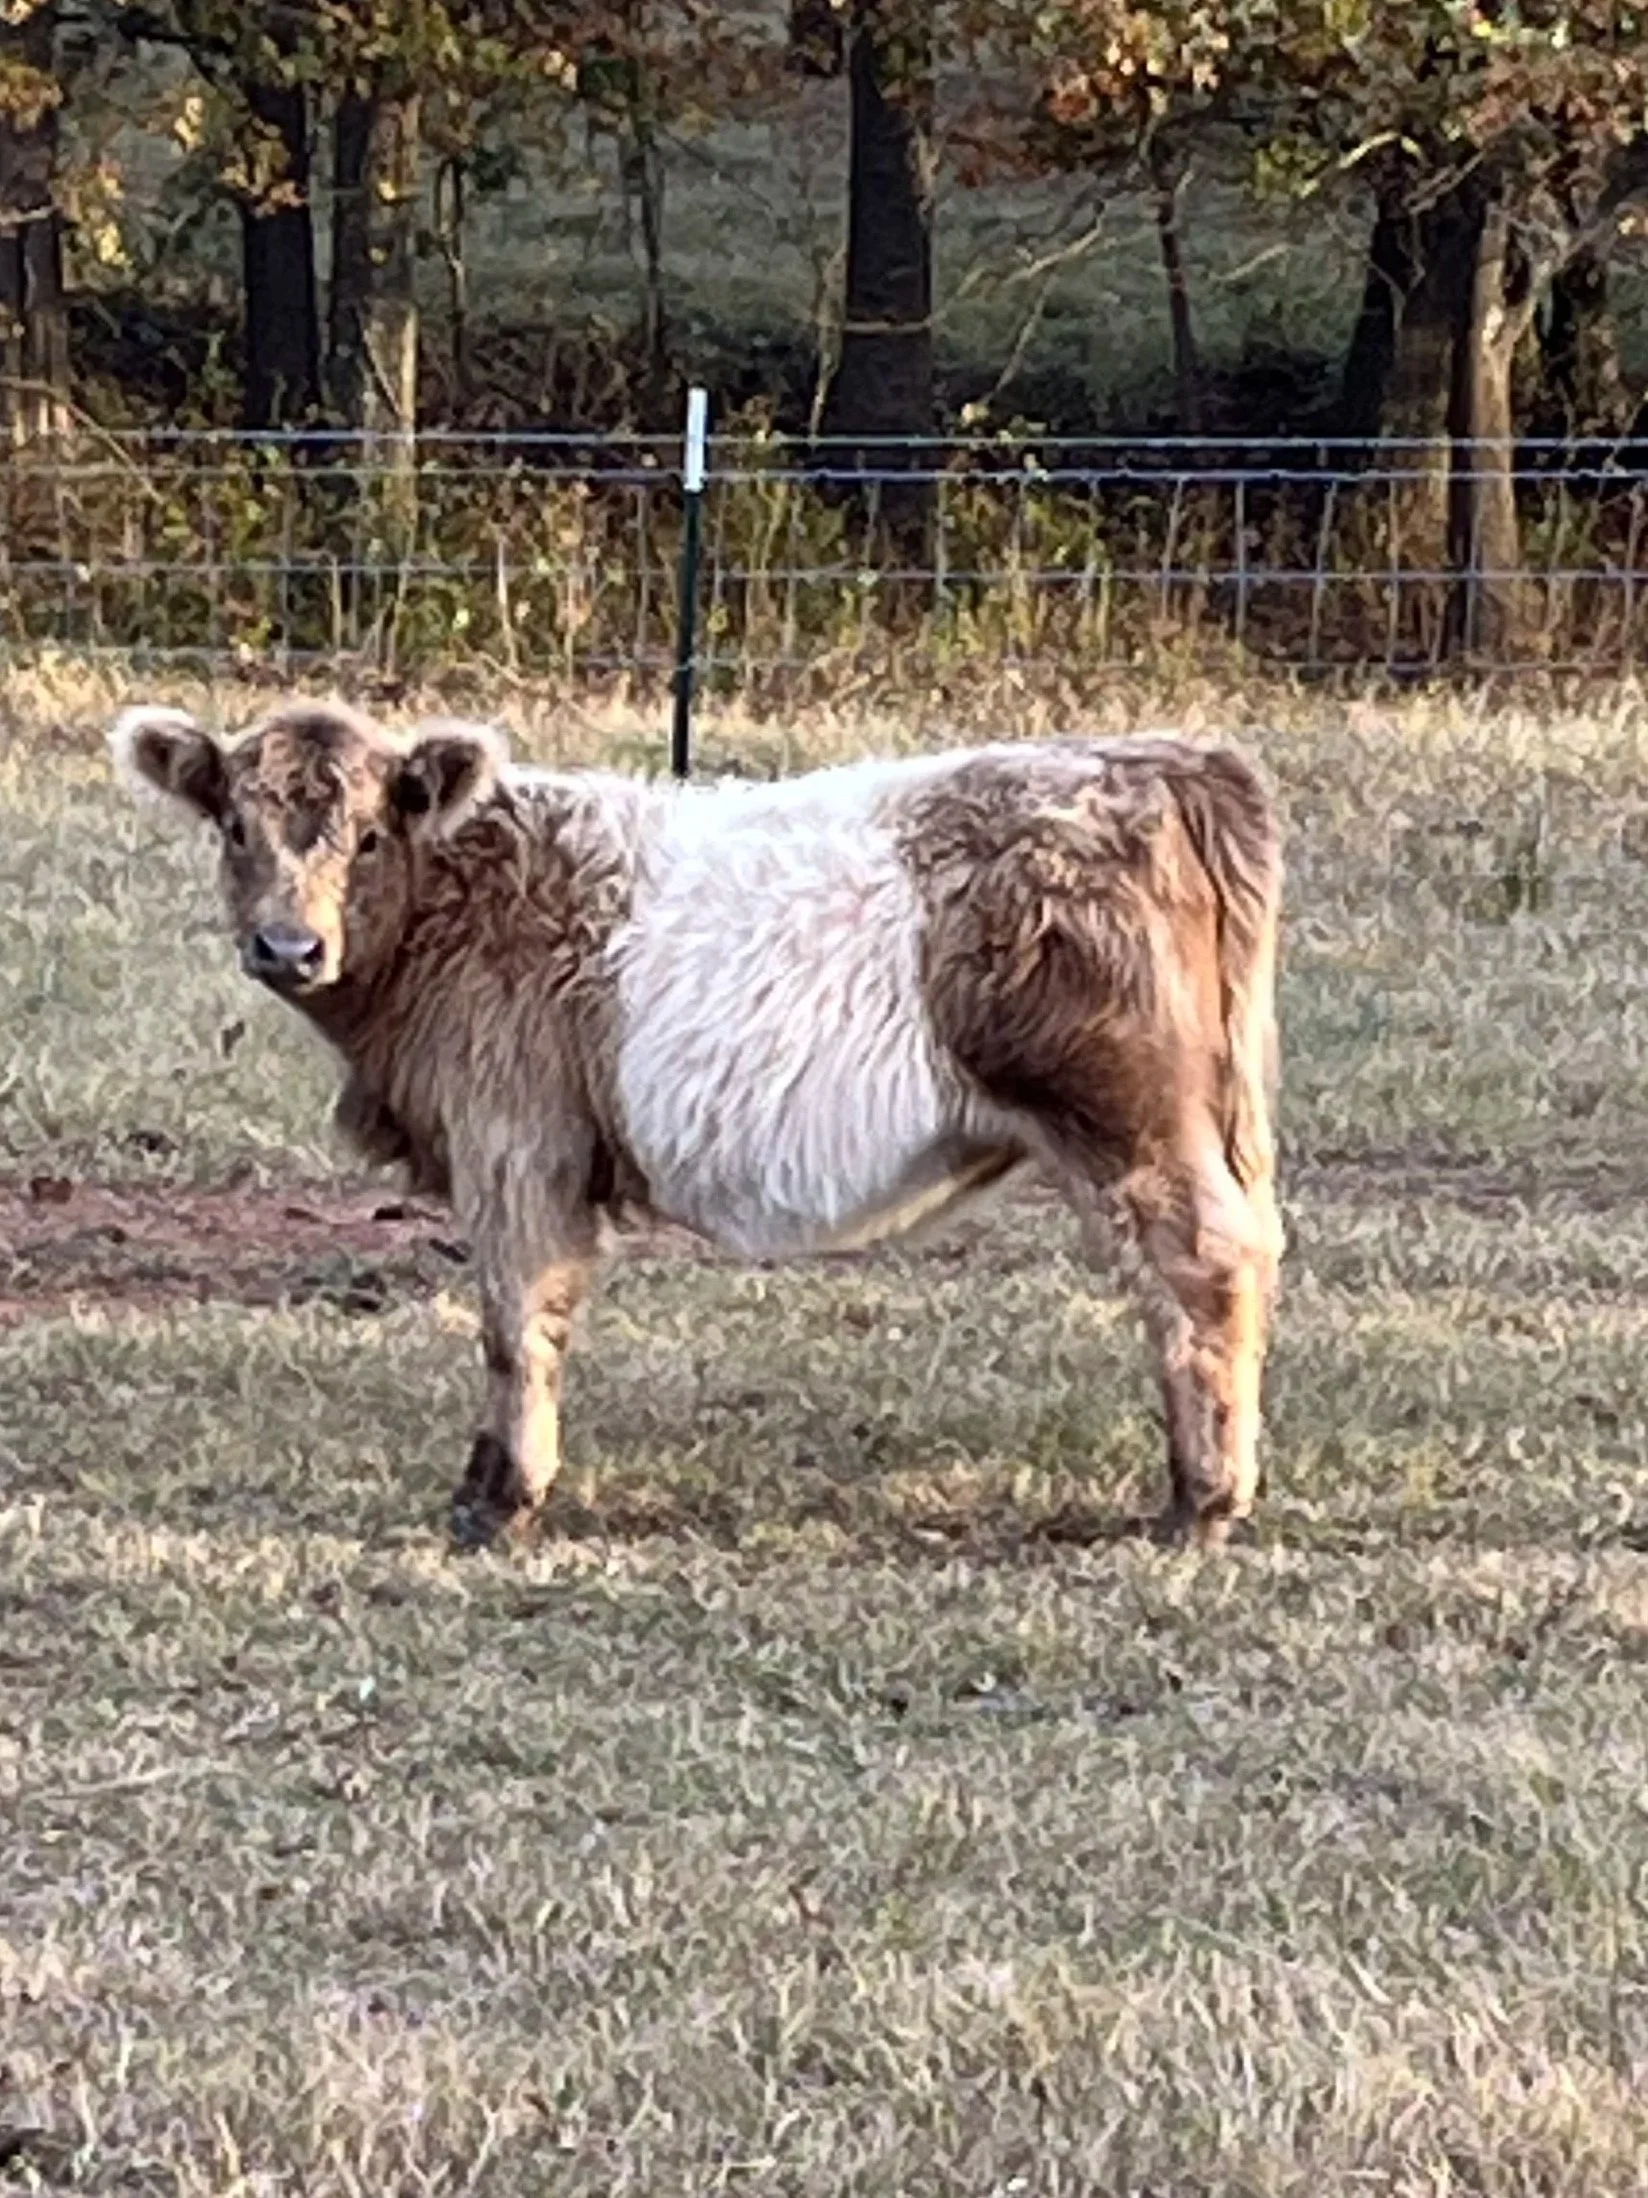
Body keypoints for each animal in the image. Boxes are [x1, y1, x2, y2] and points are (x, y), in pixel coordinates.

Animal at [111, 699, 1283, 1550]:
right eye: (234, 827)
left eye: (365, 836)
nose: (287, 946)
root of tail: (1159, 758)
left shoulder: (515, 1146)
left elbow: (512, 1322)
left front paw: (502, 1498)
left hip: (1130, 1123)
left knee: (1202, 1270)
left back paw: (1202, 1502)